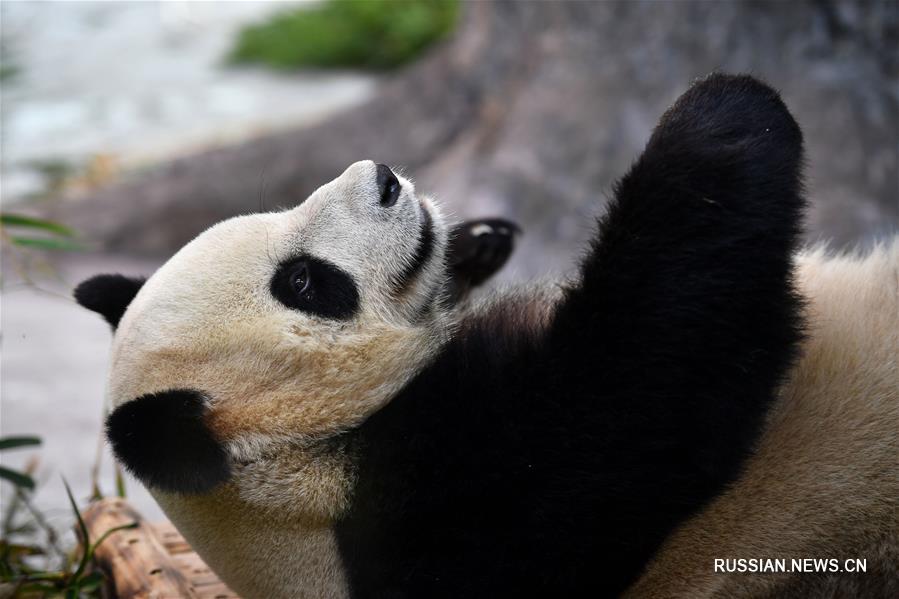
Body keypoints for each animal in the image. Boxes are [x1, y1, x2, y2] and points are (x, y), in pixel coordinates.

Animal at [79, 76, 808, 599]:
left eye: (273, 213)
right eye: (304, 281)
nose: (384, 179)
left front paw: (475, 244)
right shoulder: (437, 509)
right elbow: (637, 398)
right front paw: (720, 120)